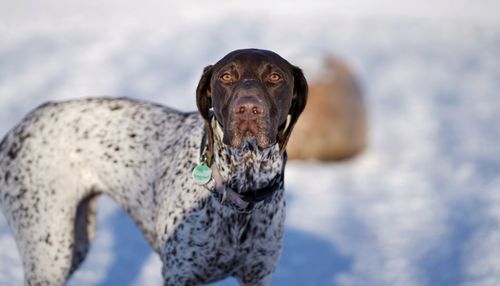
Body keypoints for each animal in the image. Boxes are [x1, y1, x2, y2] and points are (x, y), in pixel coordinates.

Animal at [0, 49, 306, 286]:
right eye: (226, 77)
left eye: (275, 77)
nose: (248, 109)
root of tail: (15, 131)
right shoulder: (180, 275)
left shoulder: (257, 275)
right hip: (49, 254)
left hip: (74, 243)